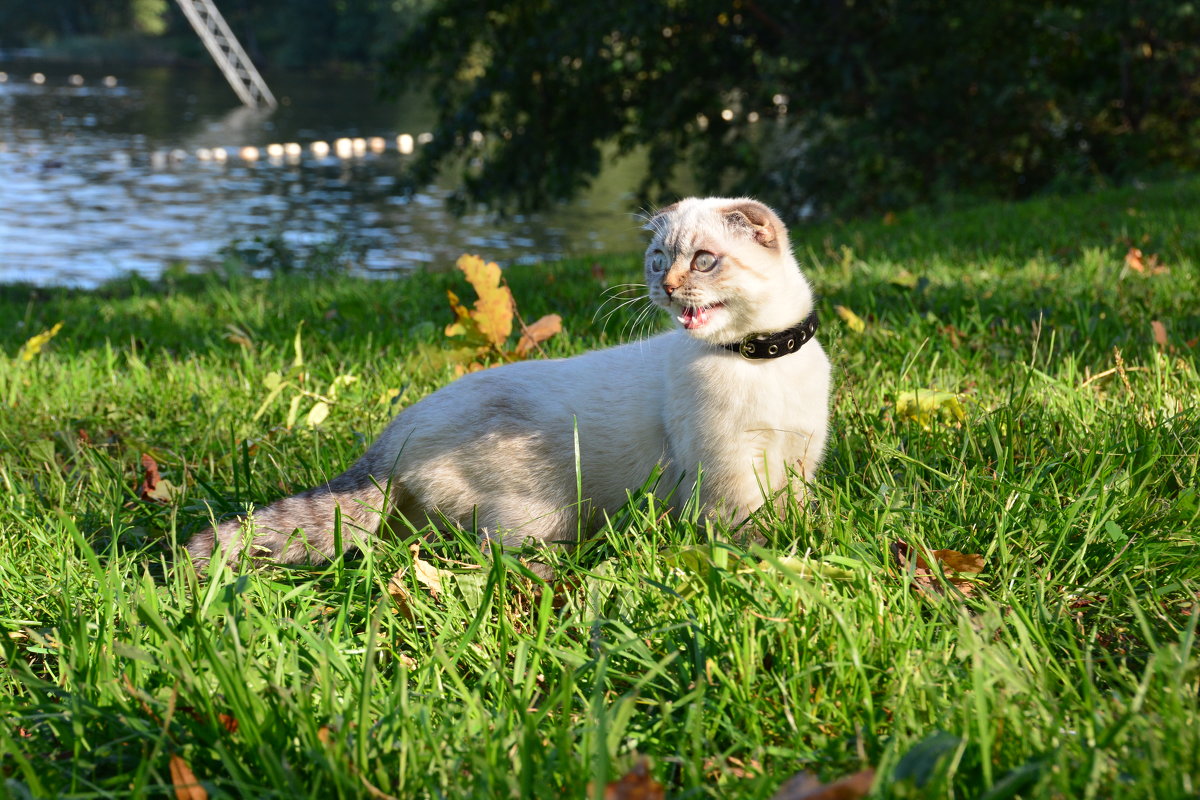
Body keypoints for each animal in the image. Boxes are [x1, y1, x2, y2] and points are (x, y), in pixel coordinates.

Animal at [182, 196, 830, 566]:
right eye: (656, 260)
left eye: (701, 261)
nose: (665, 288)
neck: (760, 357)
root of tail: (389, 440)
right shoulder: (727, 472)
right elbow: (745, 533)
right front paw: (771, 557)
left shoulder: (797, 459)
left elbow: (795, 513)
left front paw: (800, 538)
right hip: (539, 516)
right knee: (494, 556)